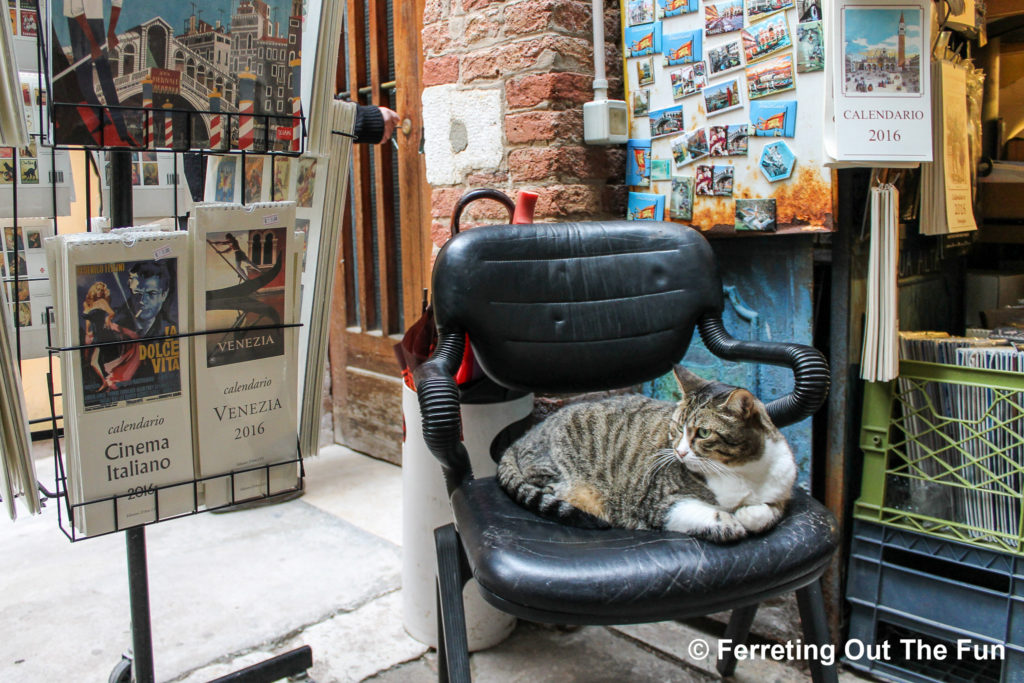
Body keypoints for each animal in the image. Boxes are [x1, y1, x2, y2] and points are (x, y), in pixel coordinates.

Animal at [497, 366, 798, 540]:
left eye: (702, 433)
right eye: (676, 428)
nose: (679, 452)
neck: (742, 471)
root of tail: (520, 439)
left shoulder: (782, 490)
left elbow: (767, 512)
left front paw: (749, 514)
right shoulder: (658, 502)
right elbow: (697, 511)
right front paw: (727, 522)